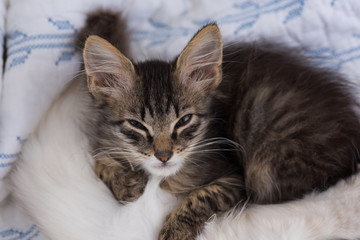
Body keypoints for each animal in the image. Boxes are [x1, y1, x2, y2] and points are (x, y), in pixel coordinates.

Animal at [78, 10, 360, 240]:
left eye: (184, 121)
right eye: (137, 124)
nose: (164, 156)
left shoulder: (235, 179)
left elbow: (202, 198)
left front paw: (174, 231)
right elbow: (101, 163)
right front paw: (127, 183)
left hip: (265, 166)